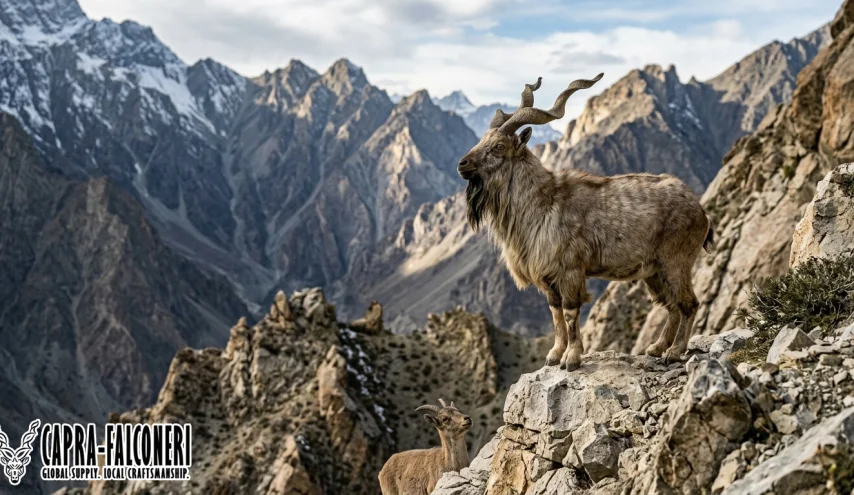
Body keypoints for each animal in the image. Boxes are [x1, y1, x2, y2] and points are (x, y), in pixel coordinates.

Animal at [457, 74, 715, 370]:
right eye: (483, 140)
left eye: (499, 146)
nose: (462, 164)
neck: (542, 202)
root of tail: (701, 211)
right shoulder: (548, 279)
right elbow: (555, 313)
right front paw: (554, 355)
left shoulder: (570, 271)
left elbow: (570, 313)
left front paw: (571, 358)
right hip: (654, 272)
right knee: (671, 305)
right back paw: (657, 348)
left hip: (676, 261)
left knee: (689, 303)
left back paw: (674, 351)